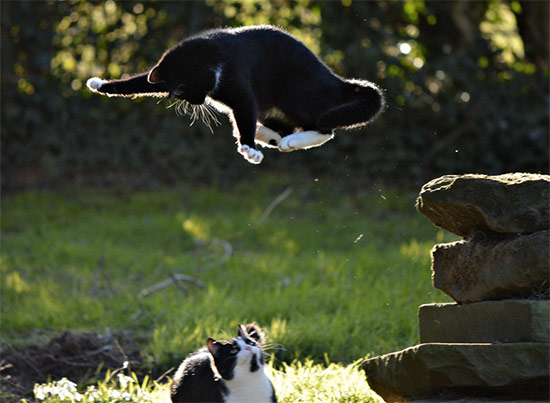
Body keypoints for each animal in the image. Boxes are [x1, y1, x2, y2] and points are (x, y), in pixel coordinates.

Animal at [88, 24, 386, 164]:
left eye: (182, 90)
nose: (197, 101)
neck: (214, 58)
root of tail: (336, 80)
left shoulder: (241, 88)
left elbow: (244, 108)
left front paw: (249, 148)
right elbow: (139, 82)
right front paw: (100, 84)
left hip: (296, 93)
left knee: (324, 129)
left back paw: (284, 140)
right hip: (275, 109)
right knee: (280, 128)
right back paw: (268, 135)